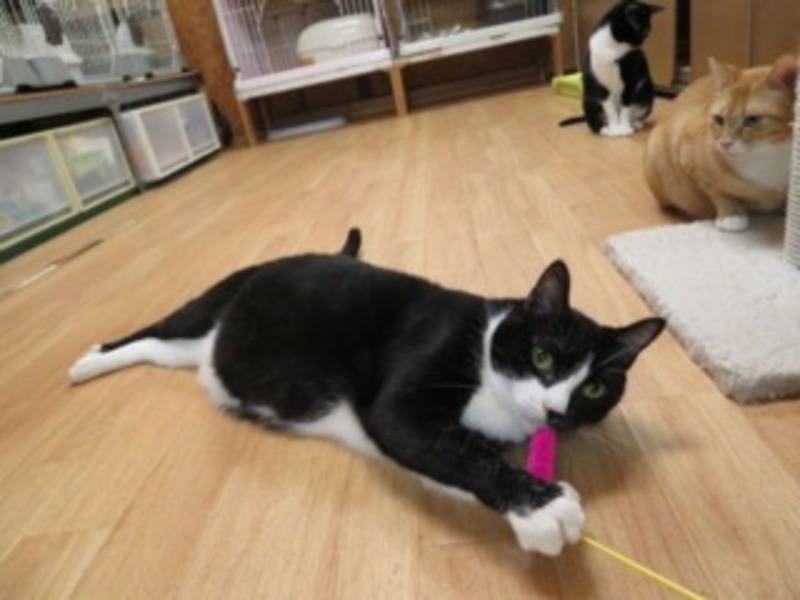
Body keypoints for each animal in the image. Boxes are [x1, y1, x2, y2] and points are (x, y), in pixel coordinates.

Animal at [69, 229, 665, 556]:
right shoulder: (408, 388)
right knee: (154, 330)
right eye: (542, 357)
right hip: (218, 295)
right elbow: (450, 448)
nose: (556, 411)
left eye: (593, 386)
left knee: (158, 350)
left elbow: (449, 456)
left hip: (199, 351)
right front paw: (542, 507)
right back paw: (88, 360)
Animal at [560, 0, 662, 136]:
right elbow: (610, 110)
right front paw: (615, 129)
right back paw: (604, 128)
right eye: (643, 31)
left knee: (638, 112)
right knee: (594, 120)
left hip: (646, 90)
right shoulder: (600, 85)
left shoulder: (633, 81)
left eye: (647, 33)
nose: (641, 45)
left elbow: (626, 105)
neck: (613, 47)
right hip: (588, 98)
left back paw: (635, 123)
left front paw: (624, 128)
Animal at [644, 54, 797, 232]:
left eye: (752, 120)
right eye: (719, 119)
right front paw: (732, 214)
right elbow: (720, 193)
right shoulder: (691, 163)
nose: (725, 144)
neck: (770, 155)